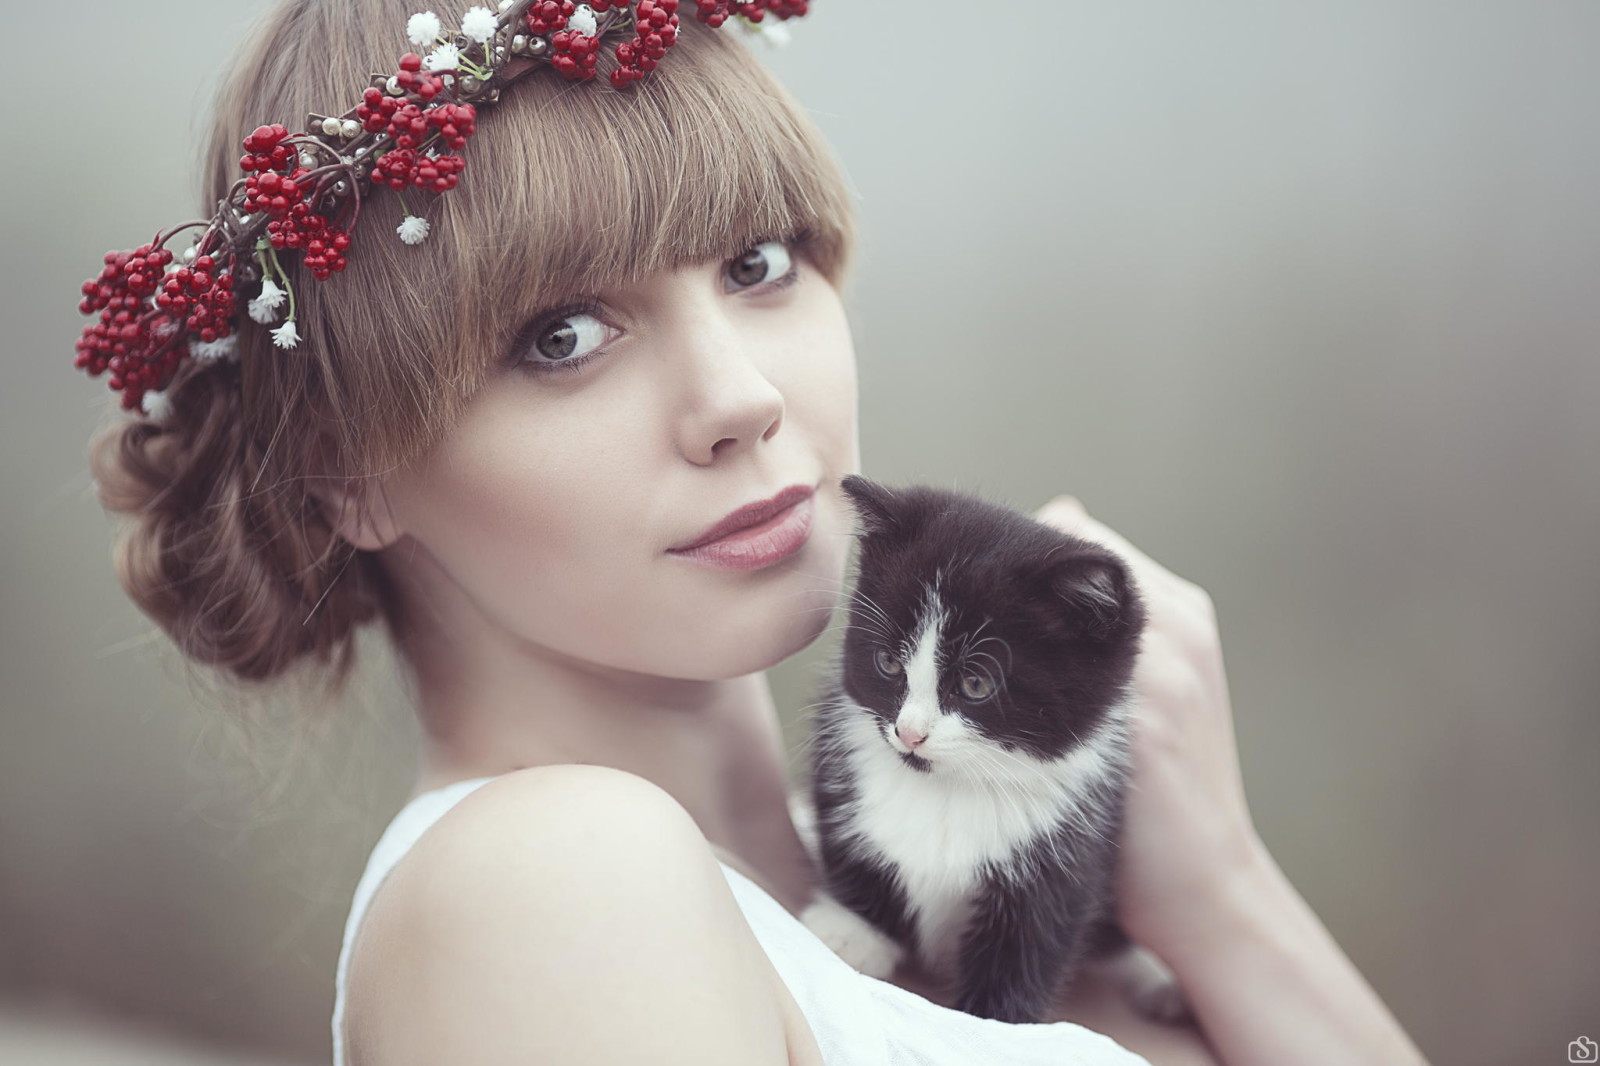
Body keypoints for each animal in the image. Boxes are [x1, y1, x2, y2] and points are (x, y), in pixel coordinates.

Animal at [796, 473, 1190, 1024]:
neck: (948, 788)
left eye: (976, 684)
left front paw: (995, 1015)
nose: (909, 732)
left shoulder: (1071, 845)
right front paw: (854, 930)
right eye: (888, 663)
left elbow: (1031, 939)